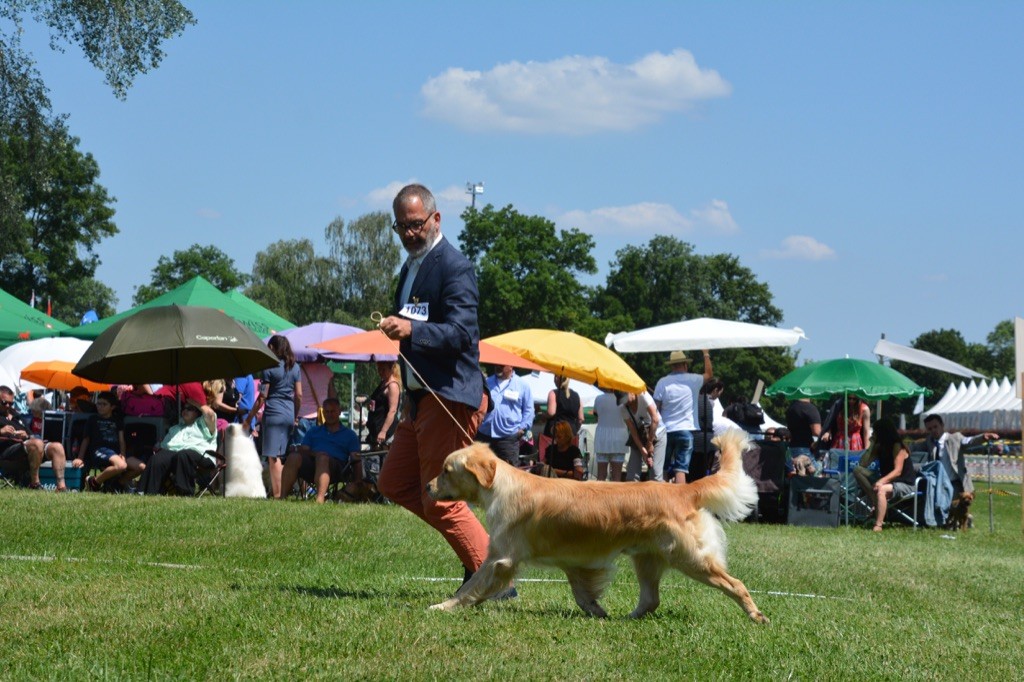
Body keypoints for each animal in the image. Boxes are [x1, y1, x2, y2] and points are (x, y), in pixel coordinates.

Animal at [423, 430, 770, 622]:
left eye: (445, 470)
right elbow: (582, 592)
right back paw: (627, 618)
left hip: (691, 558)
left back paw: (756, 615)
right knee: (650, 600)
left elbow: (470, 587)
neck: (501, 486)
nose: (426, 487)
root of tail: (683, 489)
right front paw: (597, 612)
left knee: (735, 584)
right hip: (647, 559)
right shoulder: (574, 561)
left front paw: (443, 606)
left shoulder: (500, 558)